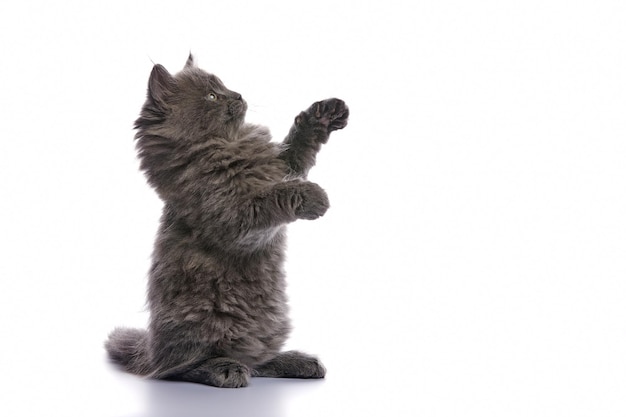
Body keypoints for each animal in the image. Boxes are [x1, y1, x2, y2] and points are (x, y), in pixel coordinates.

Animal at [102, 54, 346, 386]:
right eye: (212, 97)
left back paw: (296, 361)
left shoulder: (283, 166)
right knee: (178, 369)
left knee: (257, 361)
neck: (227, 145)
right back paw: (224, 368)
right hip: (197, 327)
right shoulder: (231, 217)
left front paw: (323, 115)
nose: (238, 95)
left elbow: (299, 147)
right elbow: (271, 198)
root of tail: (151, 350)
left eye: (224, 86)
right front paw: (313, 197)